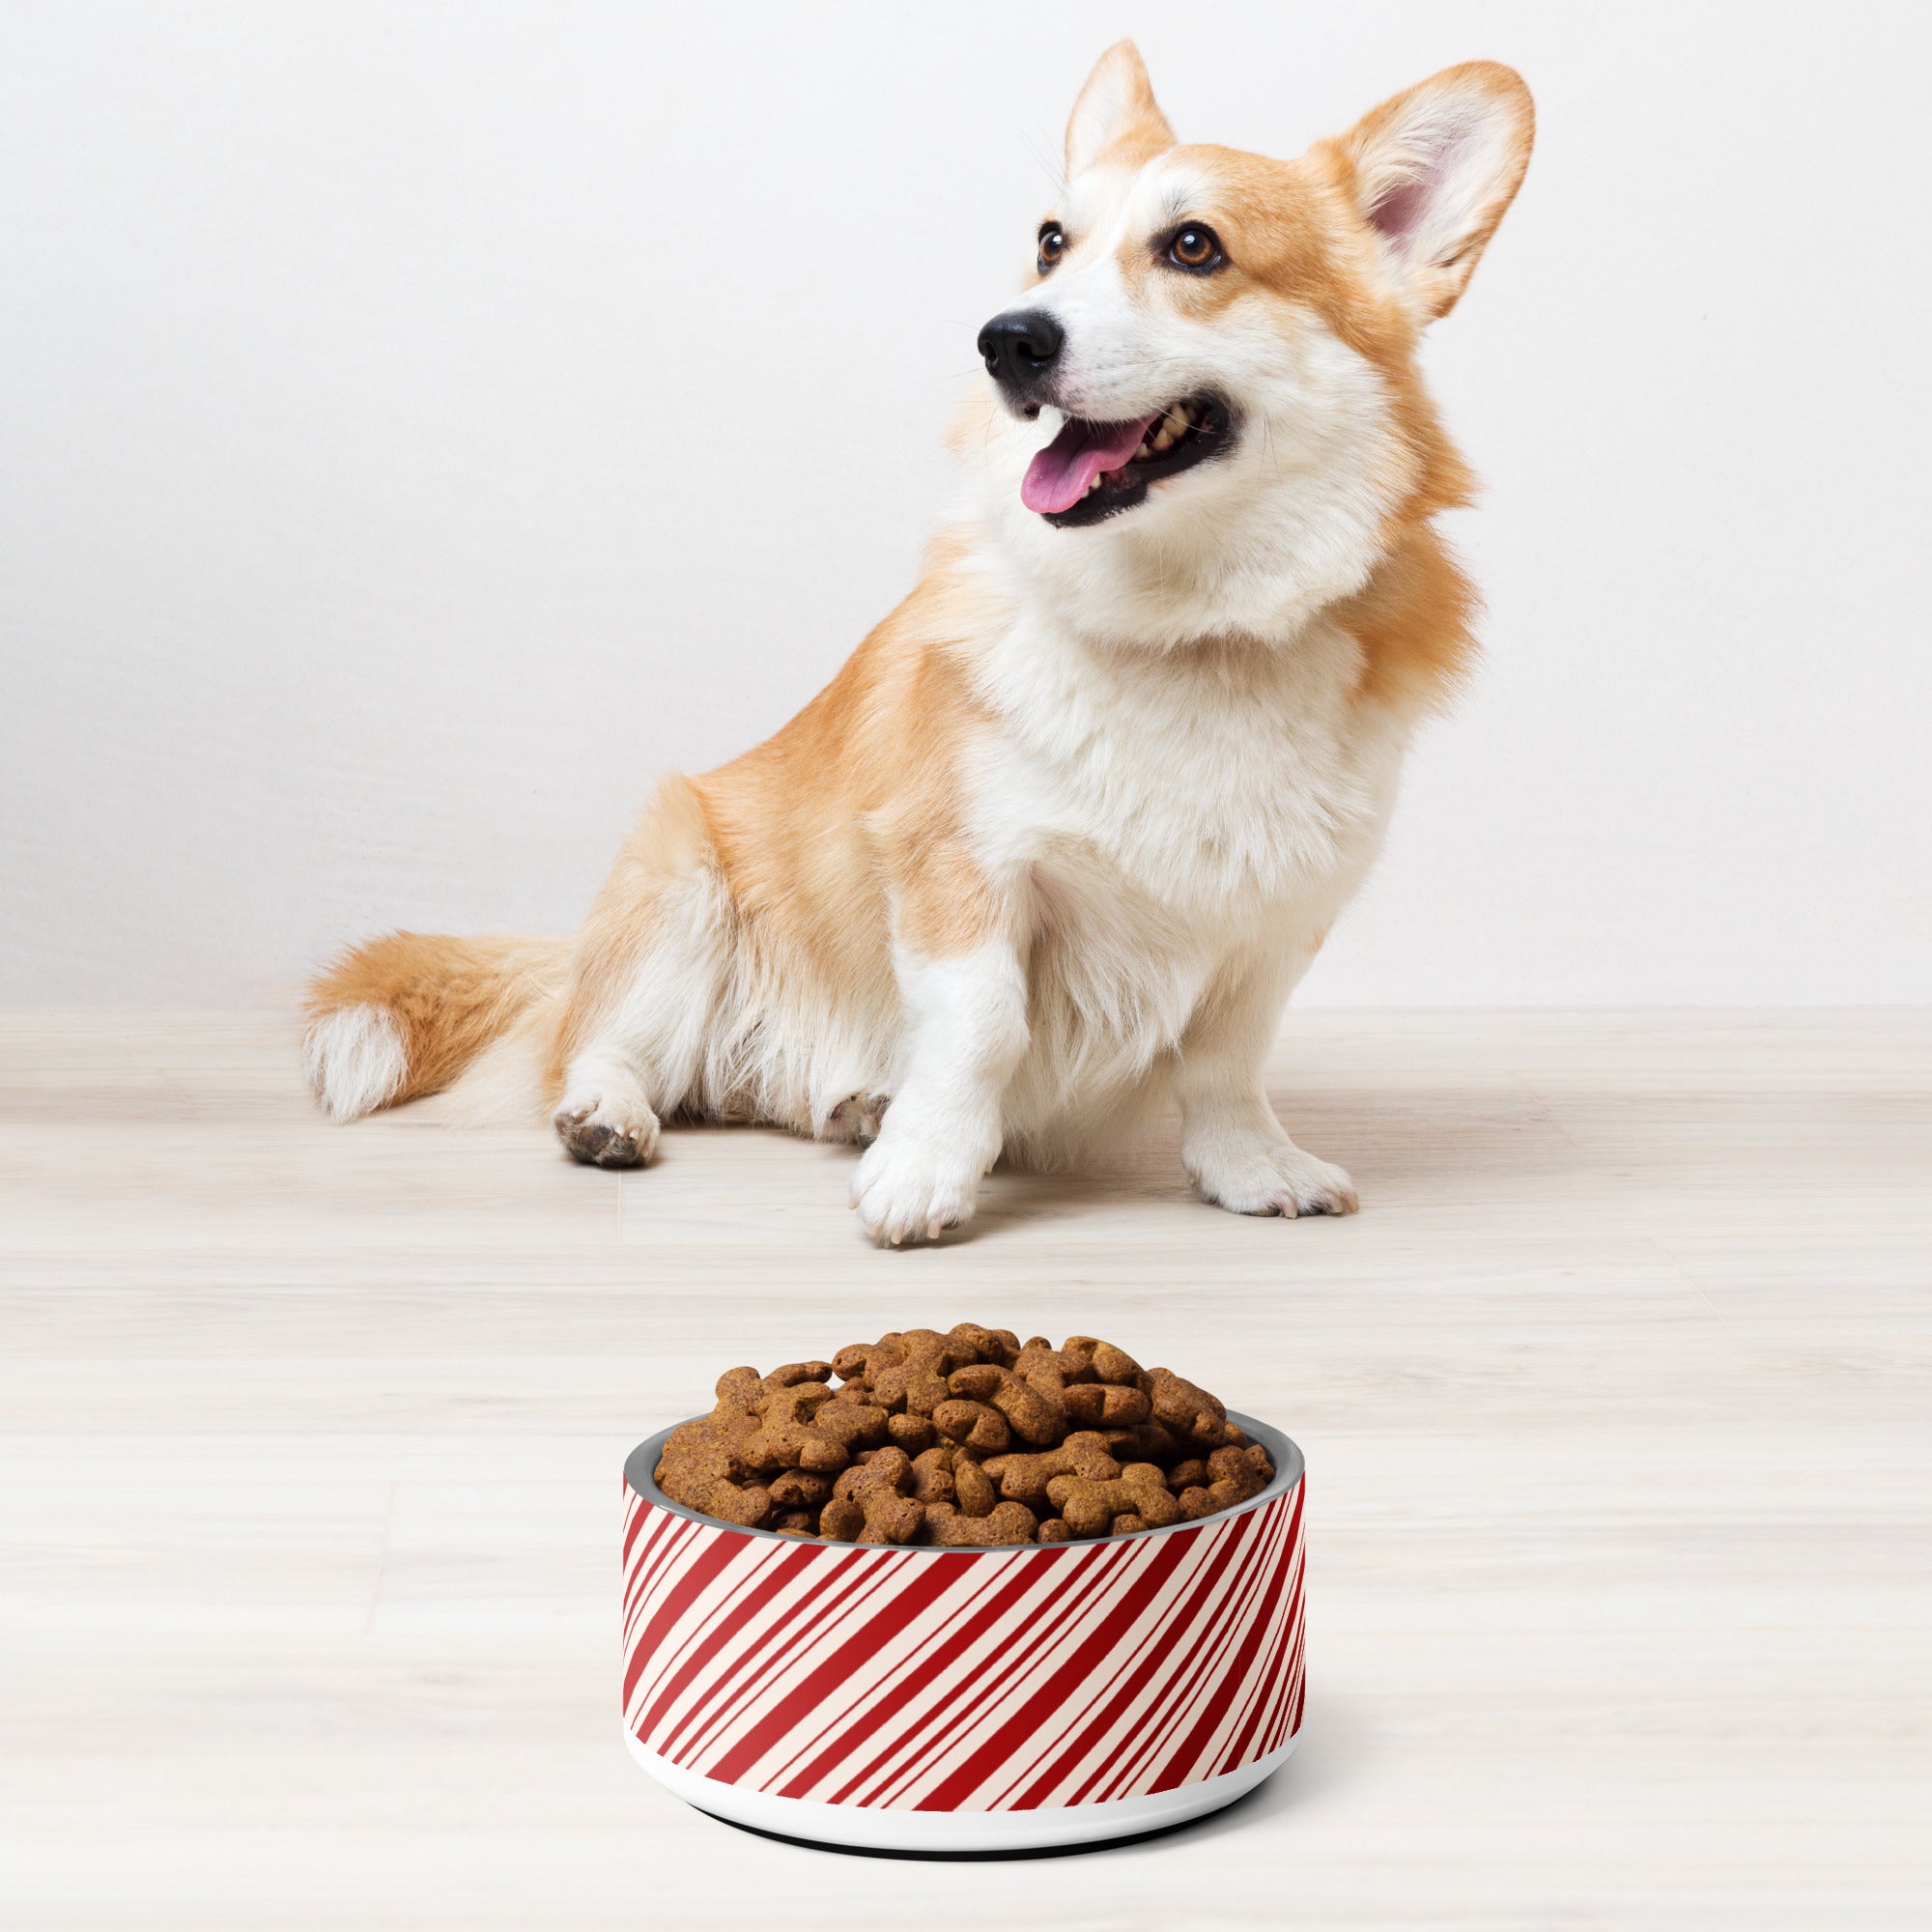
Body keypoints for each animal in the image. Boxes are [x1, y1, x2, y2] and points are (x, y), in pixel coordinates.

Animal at [309, 48, 1530, 1252]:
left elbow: (1225, 1063)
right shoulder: (959, 864)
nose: (1007, 338)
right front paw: (927, 1168)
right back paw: (616, 1112)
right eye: (1050, 242)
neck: (1182, 626)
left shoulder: (1272, 922)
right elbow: (982, 1023)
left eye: (1194, 246)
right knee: (604, 1044)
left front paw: (1251, 1166)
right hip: (681, 887)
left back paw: (855, 1103)